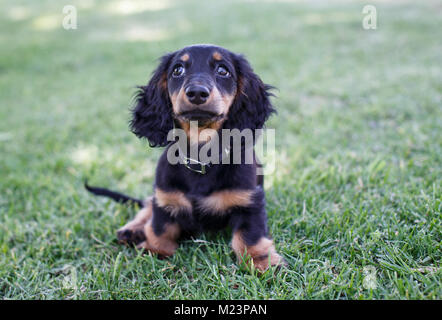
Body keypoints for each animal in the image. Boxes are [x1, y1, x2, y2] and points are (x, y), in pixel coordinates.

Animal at [85, 43, 286, 272]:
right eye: (177, 70)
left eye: (223, 70)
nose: (197, 92)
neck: (201, 157)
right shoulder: (165, 197)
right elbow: (159, 226)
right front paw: (155, 249)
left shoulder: (249, 202)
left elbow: (249, 236)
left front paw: (261, 261)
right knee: (148, 204)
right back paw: (132, 228)